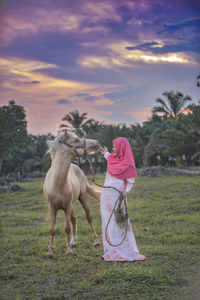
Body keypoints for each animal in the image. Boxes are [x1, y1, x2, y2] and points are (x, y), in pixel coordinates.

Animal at [43, 129, 101, 258]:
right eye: (76, 140)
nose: (97, 143)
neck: (57, 184)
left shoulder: (67, 206)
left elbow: (67, 228)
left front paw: (69, 251)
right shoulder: (52, 207)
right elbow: (52, 229)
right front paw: (50, 252)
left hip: (82, 198)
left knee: (89, 218)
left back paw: (96, 241)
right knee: (74, 219)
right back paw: (73, 242)